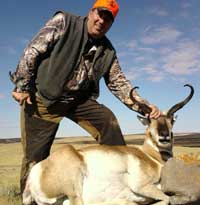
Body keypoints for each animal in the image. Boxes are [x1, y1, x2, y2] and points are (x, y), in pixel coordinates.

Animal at [22, 84, 194, 205]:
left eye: (171, 120)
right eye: (150, 120)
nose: (164, 136)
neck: (149, 156)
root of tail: (35, 172)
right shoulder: (141, 186)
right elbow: (166, 199)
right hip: (74, 189)